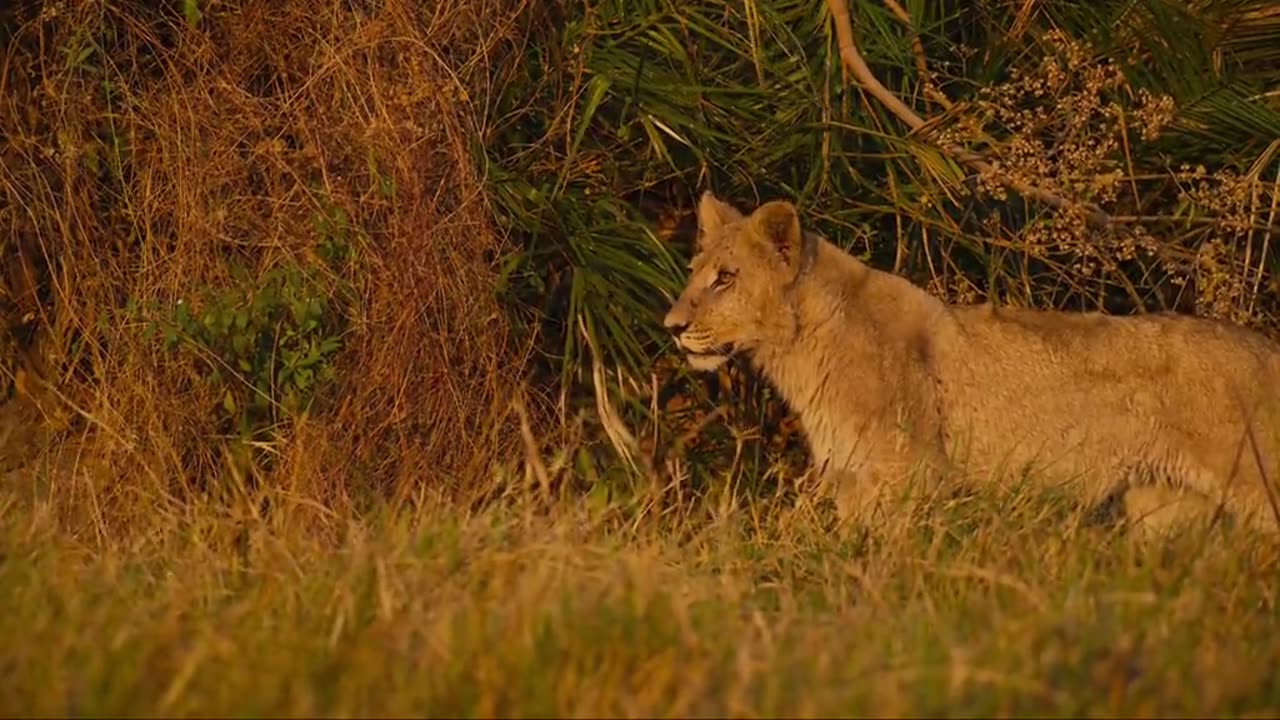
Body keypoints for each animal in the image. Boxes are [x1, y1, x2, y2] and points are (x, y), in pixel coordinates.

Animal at [660, 190, 1280, 532]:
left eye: (725, 278)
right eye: (693, 273)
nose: (673, 327)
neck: (800, 348)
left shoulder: (906, 475)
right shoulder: (854, 479)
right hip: (1164, 509)